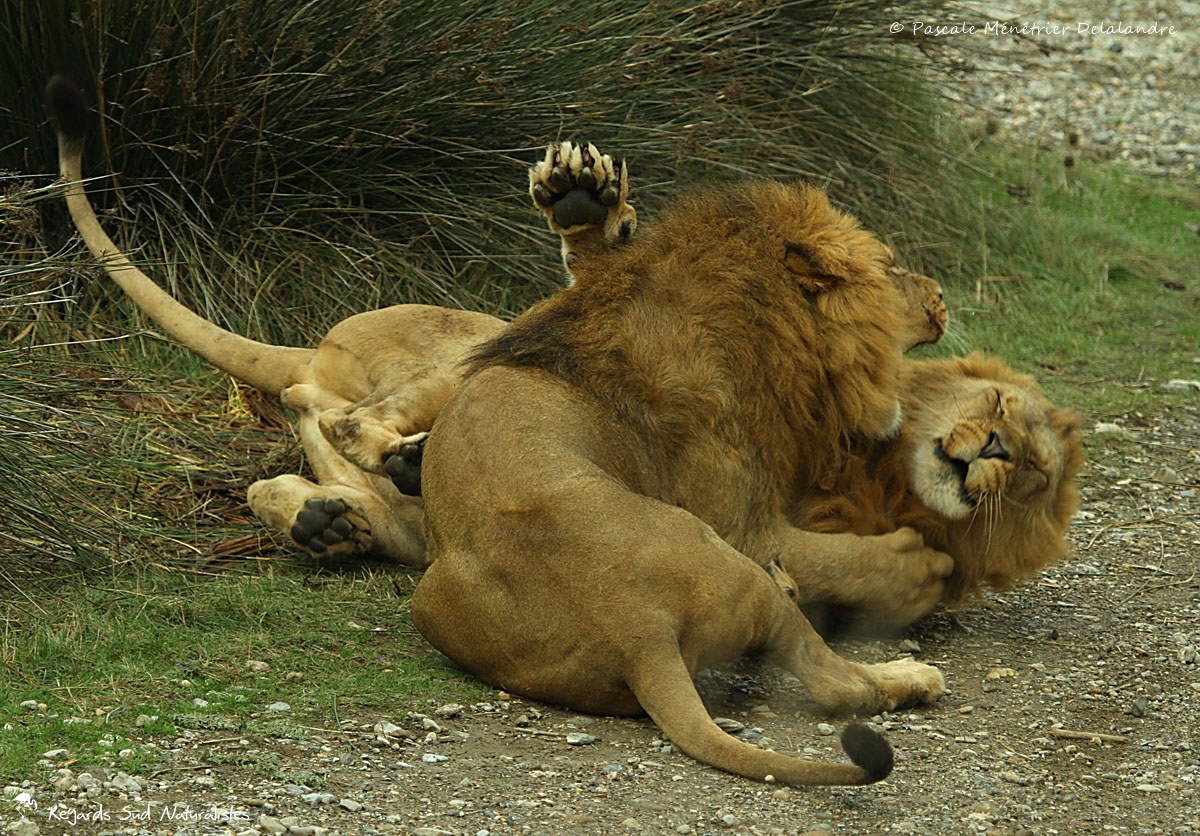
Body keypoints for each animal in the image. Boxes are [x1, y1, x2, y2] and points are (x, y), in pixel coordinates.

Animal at [408, 153, 950, 786]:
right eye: (892, 267)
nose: (941, 293)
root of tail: (638, 637)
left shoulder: (534, 322)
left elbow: (583, 268)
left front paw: (588, 206)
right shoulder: (743, 518)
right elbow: (847, 558)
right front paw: (923, 565)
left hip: (430, 600)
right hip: (723, 553)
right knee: (836, 682)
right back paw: (909, 675)